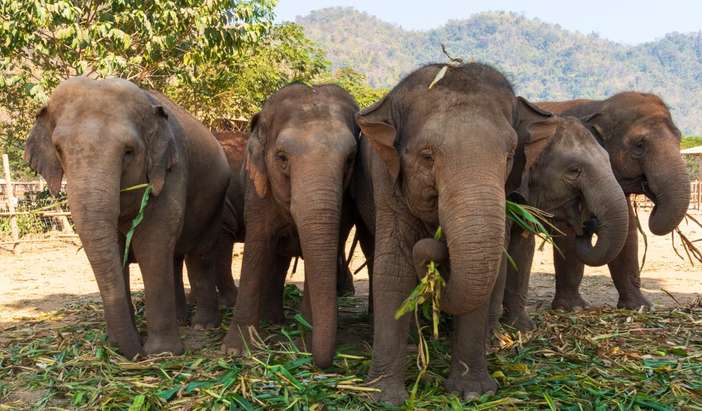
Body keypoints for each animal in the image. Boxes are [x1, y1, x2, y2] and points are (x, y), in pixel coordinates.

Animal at [24, 77, 232, 358]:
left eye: (128, 152)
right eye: (58, 149)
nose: (137, 352)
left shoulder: (171, 171)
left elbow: (152, 245)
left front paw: (162, 353)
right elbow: (115, 247)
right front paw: (118, 343)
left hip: (215, 202)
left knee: (198, 256)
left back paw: (202, 326)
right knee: (174, 258)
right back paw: (181, 320)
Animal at [221, 83, 359, 369]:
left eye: (350, 160)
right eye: (282, 158)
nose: (321, 362)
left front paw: (304, 345)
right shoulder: (257, 191)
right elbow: (257, 247)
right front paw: (235, 351)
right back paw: (271, 321)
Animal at [350, 63, 557, 403]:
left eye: (510, 154)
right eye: (427, 156)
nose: (436, 244)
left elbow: (487, 271)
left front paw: (473, 392)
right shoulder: (385, 181)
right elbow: (393, 268)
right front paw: (382, 396)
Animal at [537, 92, 690, 310]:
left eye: (679, 139)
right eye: (639, 145)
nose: (589, 225)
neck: (599, 105)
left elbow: (628, 233)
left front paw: (641, 307)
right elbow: (566, 234)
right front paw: (574, 309)